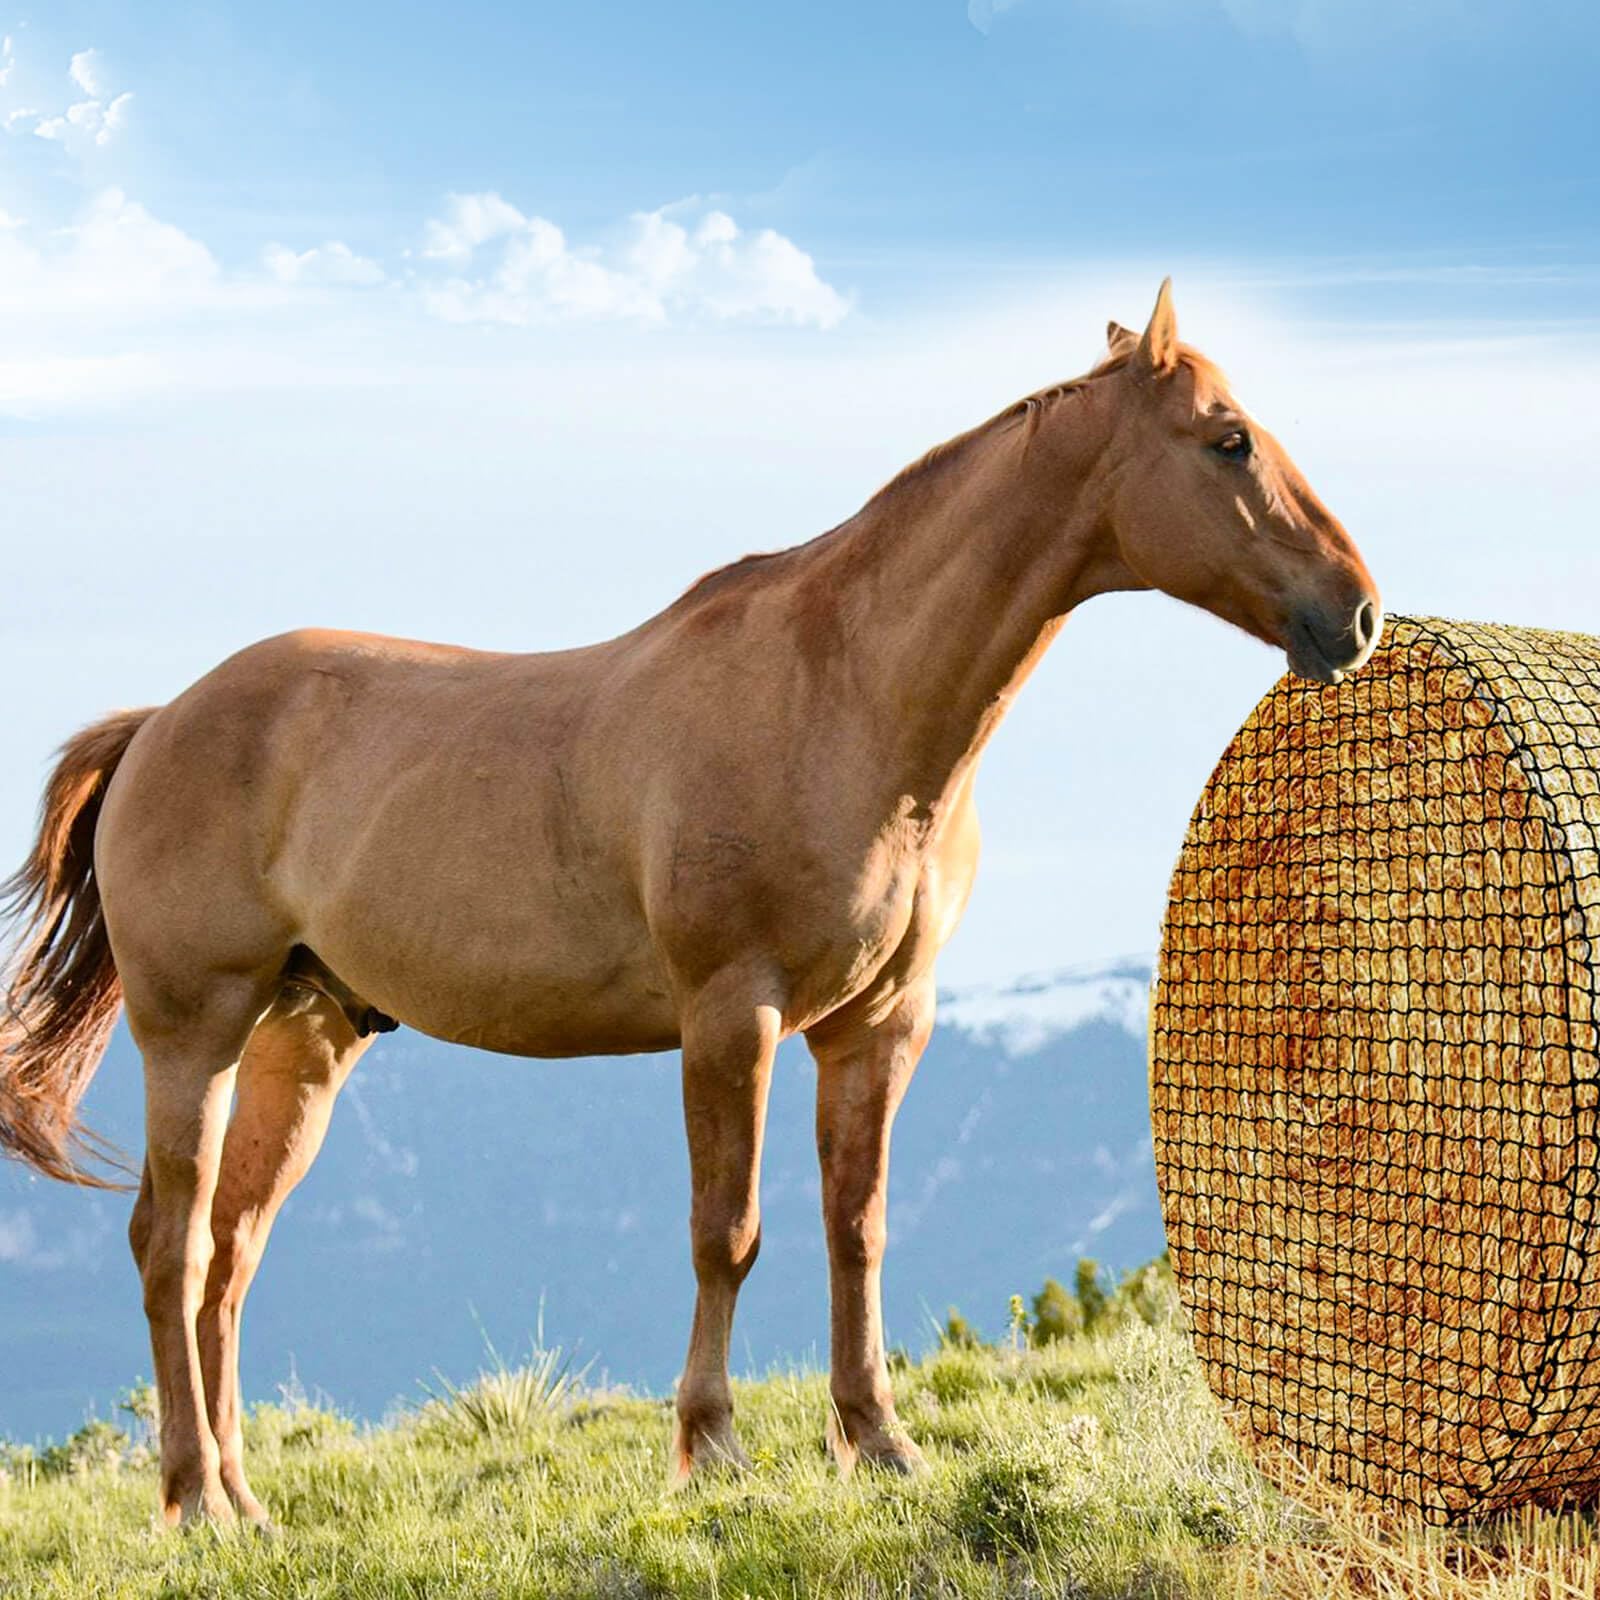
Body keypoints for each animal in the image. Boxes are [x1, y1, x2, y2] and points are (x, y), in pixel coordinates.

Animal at [0, 281, 1380, 1525]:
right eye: (1226, 438)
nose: (1355, 611)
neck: (843, 694)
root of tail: (160, 721)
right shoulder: (732, 1014)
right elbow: (731, 1229)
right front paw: (710, 1450)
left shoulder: (880, 1024)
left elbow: (856, 1227)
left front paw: (878, 1443)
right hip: (195, 1032)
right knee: (170, 1246)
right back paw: (191, 1499)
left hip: (305, 1039)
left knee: (230, 1256)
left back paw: (243, 1499)